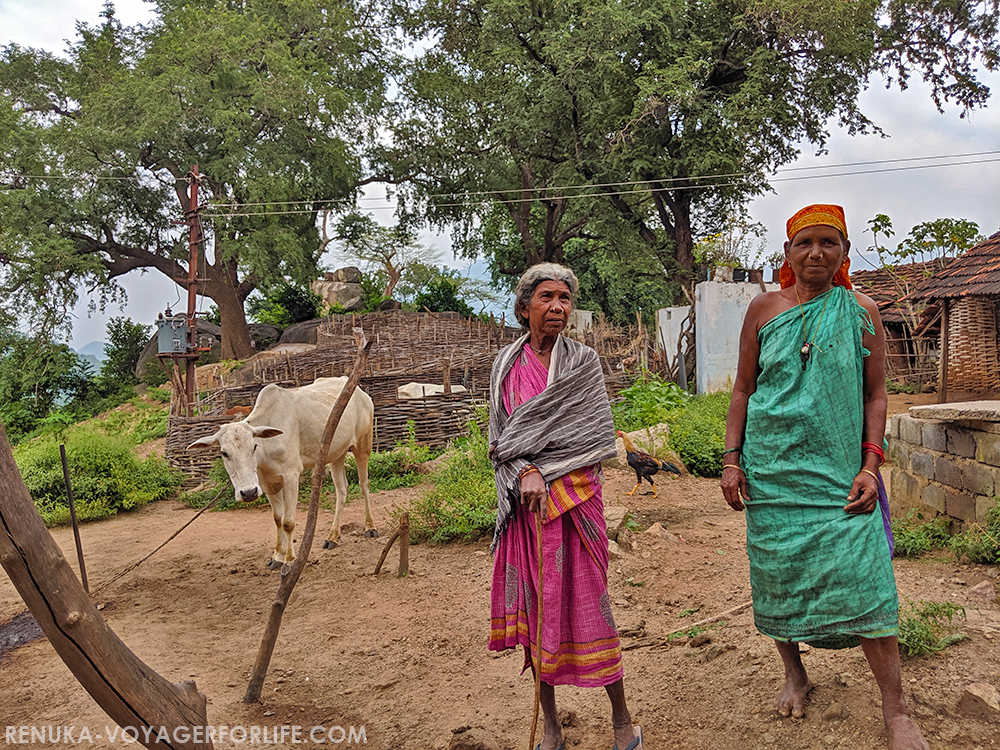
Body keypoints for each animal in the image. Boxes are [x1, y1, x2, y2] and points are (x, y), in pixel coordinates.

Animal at [188, 376, 376, 568]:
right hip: (337, 453)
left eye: (254, 446)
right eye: (224, 453)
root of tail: (360, 392)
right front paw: (277, 556)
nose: (248, 492)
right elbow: (278, 518)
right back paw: (332, 537)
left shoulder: (291, 477)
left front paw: (290, 560)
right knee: (342, 490)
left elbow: (288, 522)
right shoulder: (265, 484)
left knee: (364, 485)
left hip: (363, 445)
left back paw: (370, 527)